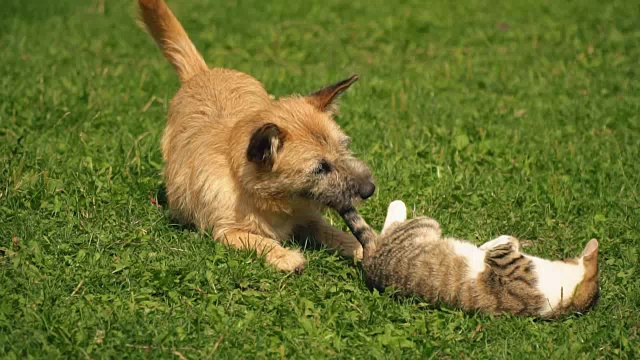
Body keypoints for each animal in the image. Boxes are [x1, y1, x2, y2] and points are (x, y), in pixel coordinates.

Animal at [136, 0, 376, 270]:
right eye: (320, 168)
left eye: (344, 148)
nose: (370, 189)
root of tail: (202, 73)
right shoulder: (226, 232)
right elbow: (259, 240)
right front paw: (285, 256)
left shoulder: (310, 217)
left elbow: (331, 231)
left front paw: (361, 246)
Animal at [340, 201, 600, 320]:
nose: (564, 257)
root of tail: (371, 259)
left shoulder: (503, 261)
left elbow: (504, 244)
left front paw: (494, 242)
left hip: (425, 225)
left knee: (393, 222)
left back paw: (399, 205)